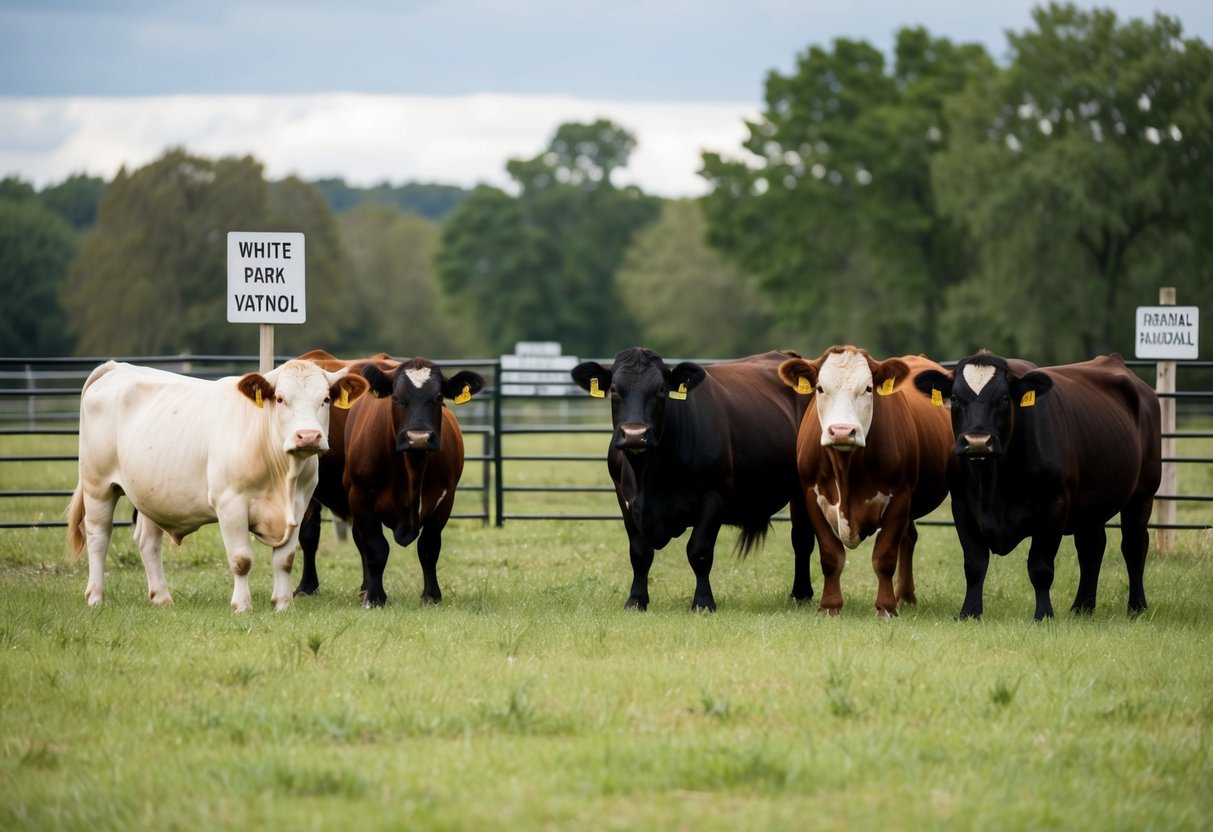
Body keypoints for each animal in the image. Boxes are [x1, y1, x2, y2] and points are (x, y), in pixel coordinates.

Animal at [65, 358, 363, 613]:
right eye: (280, 398)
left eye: (326, 399)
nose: (308, 436)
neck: (282, 477)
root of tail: (117, 366)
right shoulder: (231, 504)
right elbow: (241, 560)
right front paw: (242, 605)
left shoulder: (299, 505)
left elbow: (285, 560)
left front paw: (282, 604)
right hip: (98, 485)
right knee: (98, 536)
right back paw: (95, 597)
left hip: (151, 494)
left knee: (148, 543)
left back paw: (162, 598)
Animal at [570, 344, 815, 613]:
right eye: (614, 389)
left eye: (661, 390)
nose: (635, 434)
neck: (650, 475)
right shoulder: (624, 499)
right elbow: (639, 553)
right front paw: (636, 600)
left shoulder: (712, 498)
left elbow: (699, 551)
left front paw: (703, 602)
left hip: (803, 489)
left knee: (802, 538)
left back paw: (801, 593)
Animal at [776, 346, 955, 618]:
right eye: (820, 388)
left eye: (868, 389)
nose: (841, 431)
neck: (846, 468)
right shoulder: (811, 497)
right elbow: (830, 555)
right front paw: (830, 606)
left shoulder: (899, 497)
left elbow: (885, 556)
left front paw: (886, 607)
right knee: (909, 537)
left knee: (907, 541)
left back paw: (904, 597)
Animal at [912, 349, 1159, 618]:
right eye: (955, 398)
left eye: (1004, 398)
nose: (977, 442)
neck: (993, 482)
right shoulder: (962, 506)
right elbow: (975, 564)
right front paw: (970, 612)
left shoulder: (1053, 506)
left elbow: (1040, 566)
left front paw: (1043, 614)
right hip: (1091, 505)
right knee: (1091, 548)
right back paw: (1082, 607)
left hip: (1143, 495)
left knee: (1133, 546)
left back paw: (1136, 607)